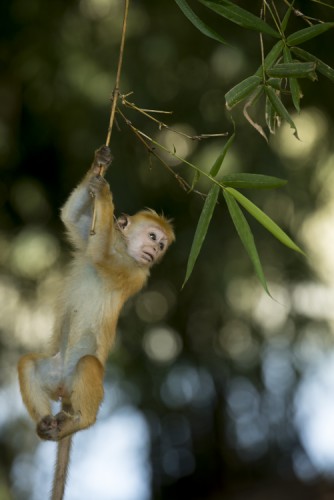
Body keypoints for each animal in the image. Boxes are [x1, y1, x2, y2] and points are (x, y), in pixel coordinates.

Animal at [18, 146, 176, 444]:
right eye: (153, 238)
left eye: (161, 246)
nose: (155, 251)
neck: (123, 247)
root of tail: (63, 389)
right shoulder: (88, 237)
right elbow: (70, 218)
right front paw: (99, 165)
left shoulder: (136, 273)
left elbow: (100, 255)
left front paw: (103, 194)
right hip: (54, 372)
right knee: (28, 365)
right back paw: (45, 424)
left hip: (78, 378)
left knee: (88, 364)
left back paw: (80, 420)